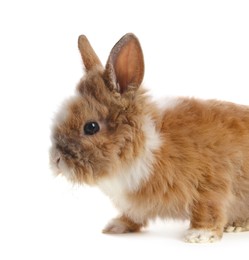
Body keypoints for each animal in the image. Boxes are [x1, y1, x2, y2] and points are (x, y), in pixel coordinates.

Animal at [49, 33, 249, 244]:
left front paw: (200, 235)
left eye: (91, 127)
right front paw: (116, 226)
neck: (147, 145)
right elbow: (133, 215)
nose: (56, 160)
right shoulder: (133, 204)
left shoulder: (211, 184)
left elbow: (208, 209)